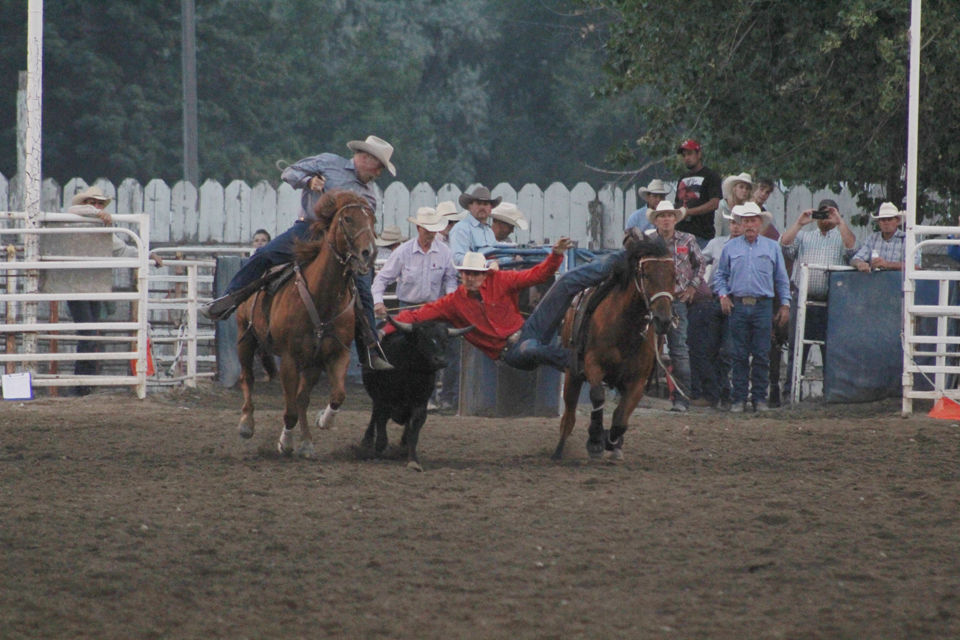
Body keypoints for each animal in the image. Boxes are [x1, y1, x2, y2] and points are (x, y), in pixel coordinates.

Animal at [234, 188, 376, 458]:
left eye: (372, 220)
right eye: (347, 219)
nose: (369, 253)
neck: (323, 298)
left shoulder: (335, 354)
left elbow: (337, 395)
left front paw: (323, 422)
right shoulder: (290, 359)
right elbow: (289, 410)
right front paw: (285, 443)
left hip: (311, 363)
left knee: (301, 398)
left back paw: (307, 441)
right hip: (245, 337)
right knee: (247, 377)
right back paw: (246, 424)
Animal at [552, 238, 680, 462]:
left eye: (673, 275)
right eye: (646, 274)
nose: (663, 320)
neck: (625, 326)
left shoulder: (637, 381)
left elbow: (621, 418)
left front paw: (611, 441)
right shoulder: (593, 365)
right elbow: (597, 396)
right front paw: (595, 441)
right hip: (572, 375)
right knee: (569, 416)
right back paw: (560, 450)